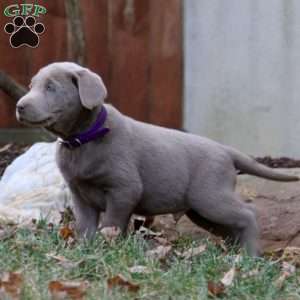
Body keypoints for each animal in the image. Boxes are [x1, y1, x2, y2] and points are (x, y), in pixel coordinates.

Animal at [15, 62, 298, 254]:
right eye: (32, 86)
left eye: (51, 88)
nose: (19, 105)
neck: (82, 140)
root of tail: (226, 150)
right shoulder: (80, 193)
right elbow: (86, 226)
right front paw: (85, 249)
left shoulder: (124, 189)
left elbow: (113, 223)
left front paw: (108, 246)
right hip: (201, 211)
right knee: (231, 227)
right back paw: (233, 255)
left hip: (210, 196)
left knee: (248, 214)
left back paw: (250, 255)